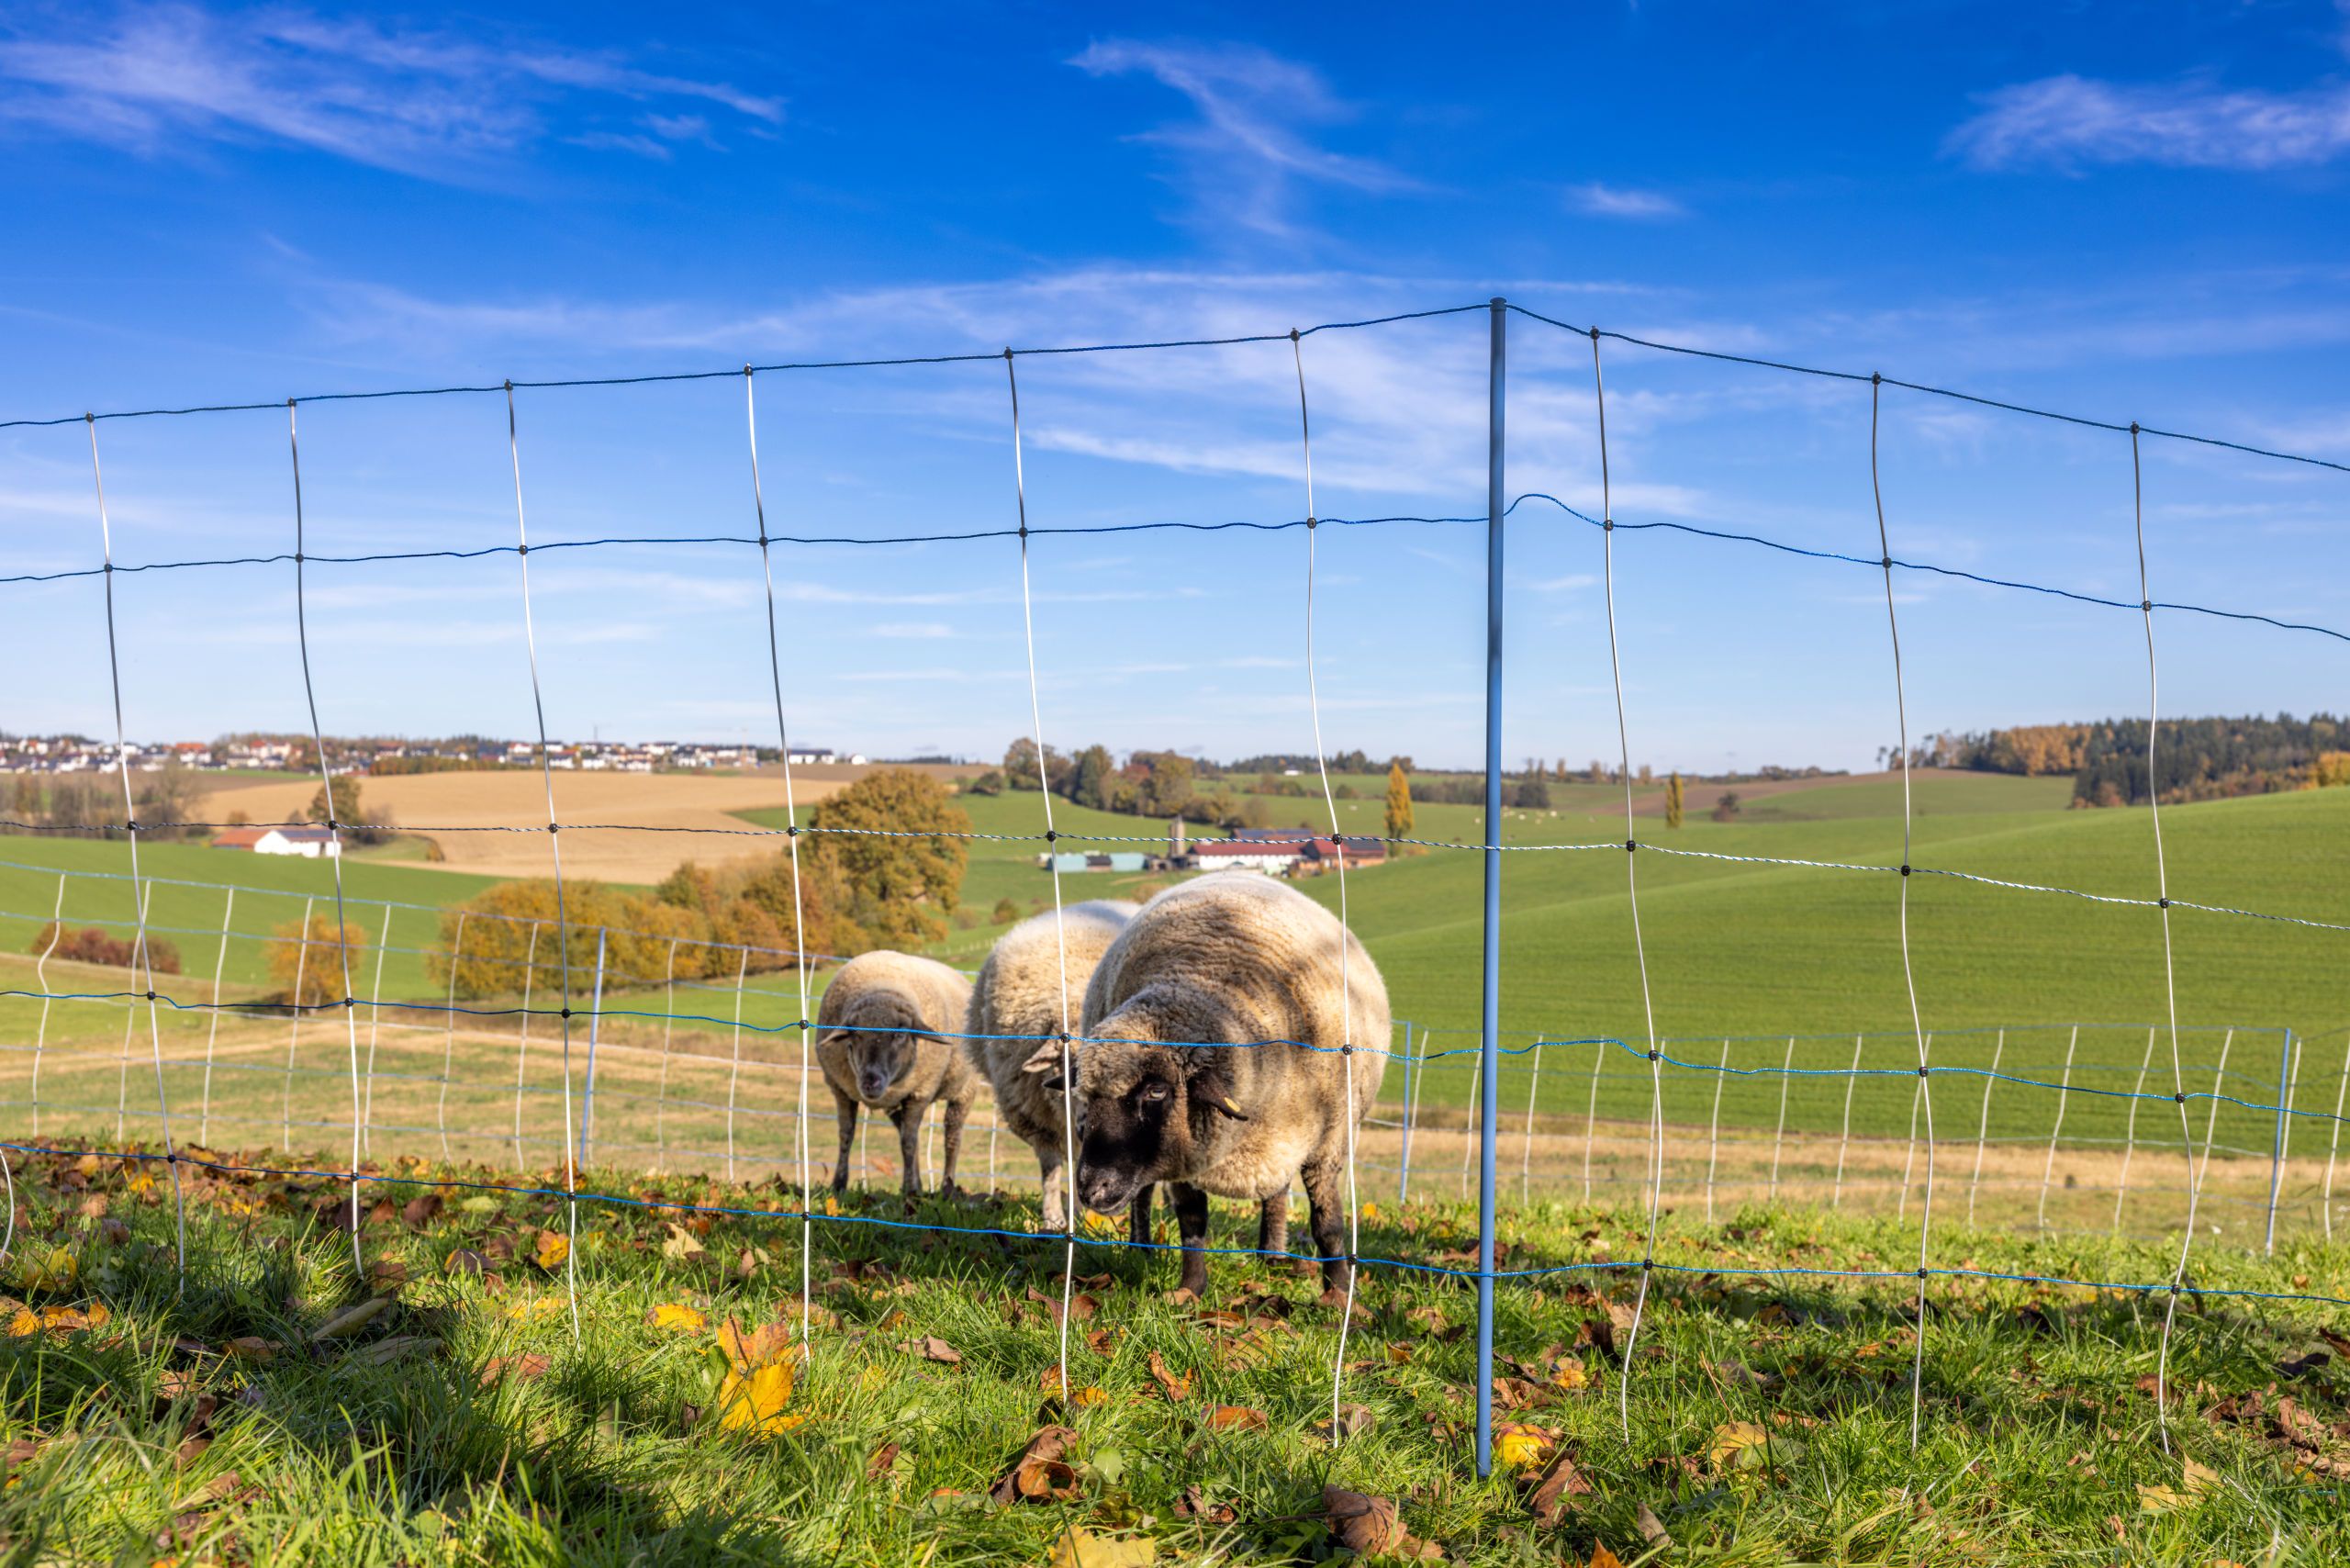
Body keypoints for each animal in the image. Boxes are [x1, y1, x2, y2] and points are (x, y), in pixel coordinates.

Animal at [814, 950, 978, 1197]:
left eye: (900, 1035)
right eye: (856, 1035)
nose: (870, 1082)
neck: (882, 986)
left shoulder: (919, 1093)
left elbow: (908, 1143)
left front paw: (911, 1191)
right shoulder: (841, 1089)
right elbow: (846, 1135)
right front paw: (838, 1185)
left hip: (965, 1089)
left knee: (952, 1135)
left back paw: (947, 1188)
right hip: (895, 1102)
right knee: (909, 1135)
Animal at [1031, 872, 1389, 1297]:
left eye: (1156, 1091)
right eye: (1087, 1094)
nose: (1090, 1188)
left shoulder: (1327, 1143)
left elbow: (1327, 1221)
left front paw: (1338, 1293)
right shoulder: (1187, 1153)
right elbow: (1192, 1223)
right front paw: (1190, 1290)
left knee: (1276, 1195)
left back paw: (1272, 1255)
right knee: (1144, 1194)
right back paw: (1140, 1248)